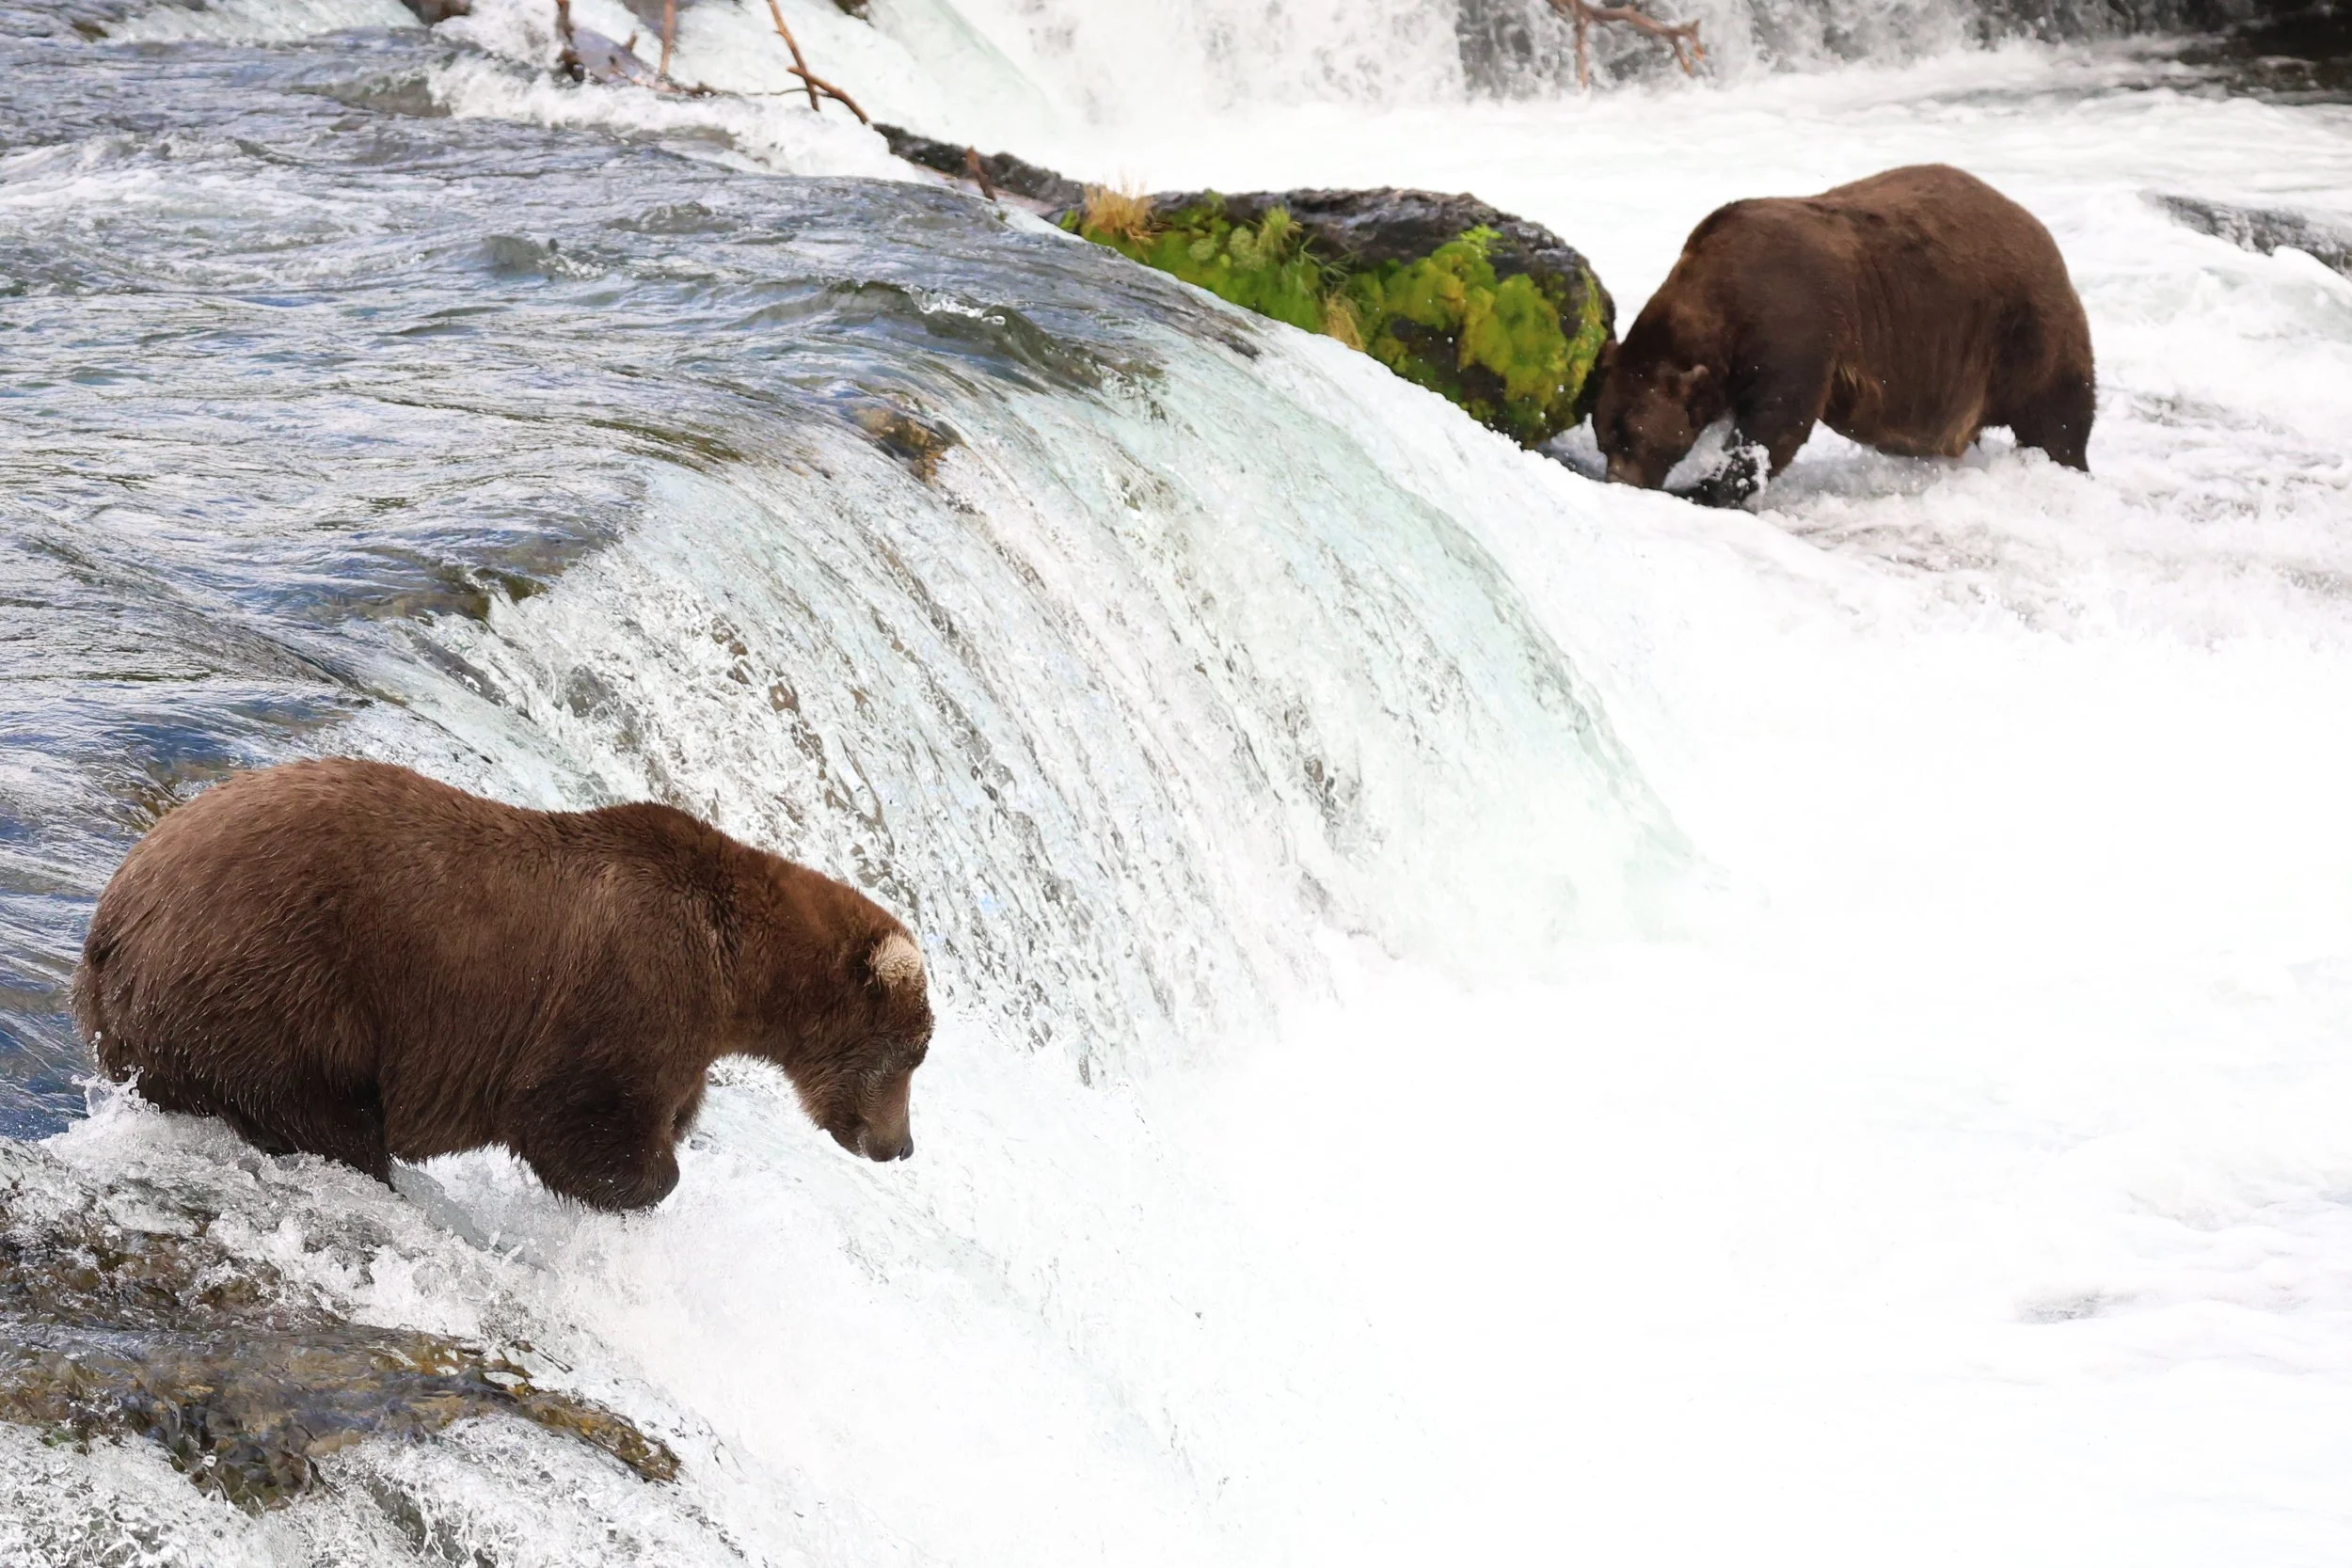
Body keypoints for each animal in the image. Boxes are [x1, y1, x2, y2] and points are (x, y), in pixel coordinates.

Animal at [73, 757, 931, 1211]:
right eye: (914, 1053)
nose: (900, 1145)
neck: (738, 976)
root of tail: (112, 922)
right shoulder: (635, 986)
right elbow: (576, 1116)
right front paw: (646, 1176)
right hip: (278, 981)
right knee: (327, 1111)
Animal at [1593, 164, 2095, 506]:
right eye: (1604, 433)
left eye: (1631, 434)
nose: (1617, 479)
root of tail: (2040, 230)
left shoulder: (1795, 321)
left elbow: (1775, 424)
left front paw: (1705, 487)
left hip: (2020, 325)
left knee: (2057, 413)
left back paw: (2067, 466)